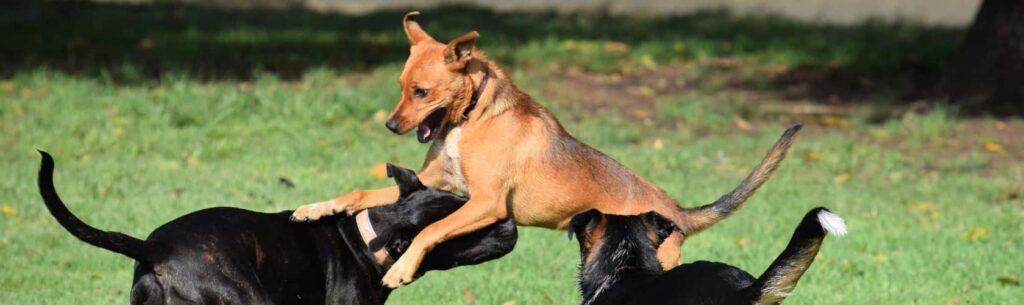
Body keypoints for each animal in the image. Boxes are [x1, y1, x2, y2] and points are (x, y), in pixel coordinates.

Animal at [292, 12, 802, 288]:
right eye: (400, 87)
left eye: (421, 92)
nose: (391, 125)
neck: (472, 117)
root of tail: (676, 211)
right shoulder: (433, 184)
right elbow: (359, 194)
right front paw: (317, 207)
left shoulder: (486, 203)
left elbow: (428, 231)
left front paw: (400, 269)